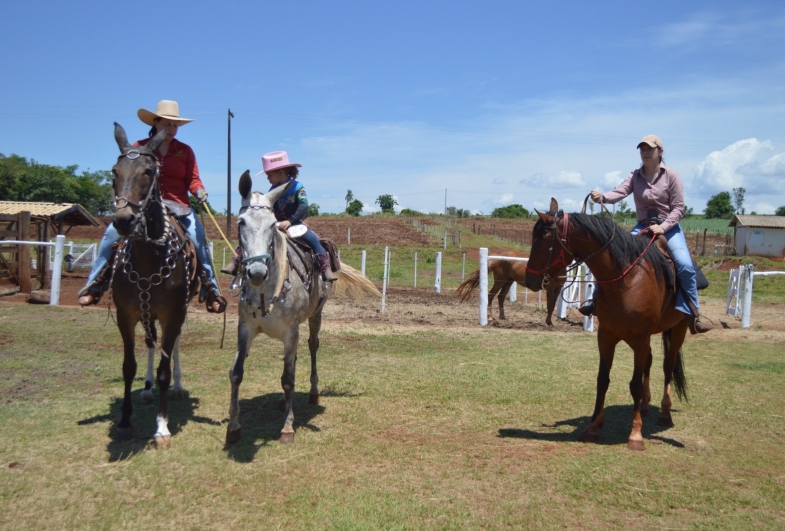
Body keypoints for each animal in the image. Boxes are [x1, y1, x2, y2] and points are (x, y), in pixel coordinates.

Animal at [109, 123, 198, 447]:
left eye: (148, 171)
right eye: (114, 172)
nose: (124, 220)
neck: (149, 259)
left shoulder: (174, 314)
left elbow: (164, 370)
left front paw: (161, 427)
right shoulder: (126, 316)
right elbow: (128, 366)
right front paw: (124, 422)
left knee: (173, 347)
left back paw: (178, 386)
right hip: (148, 314)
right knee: (150, 343)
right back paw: (146, 391)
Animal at [226, 171, 380, 444]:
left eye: (273, 225)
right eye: (241, 222)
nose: (257, 272)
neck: (267, 292)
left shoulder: (291, 331)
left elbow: (288, 379)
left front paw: (287, 428)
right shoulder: (245, 328)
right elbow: (236, 373)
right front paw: (233, 427)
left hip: (314, 317)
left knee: (312, 348)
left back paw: (313, 392)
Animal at [524, 198, 688, 451]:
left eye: (541, 241)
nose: (528, 280)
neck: (625, 281)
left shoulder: (640, 338)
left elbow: (634, 384)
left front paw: (636, 435)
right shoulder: (607, 336)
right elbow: (602, 380)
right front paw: (593, 428)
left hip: (678, 329)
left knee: (667, 367)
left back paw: (665, 413)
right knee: (650, 363)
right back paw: (645, 406)